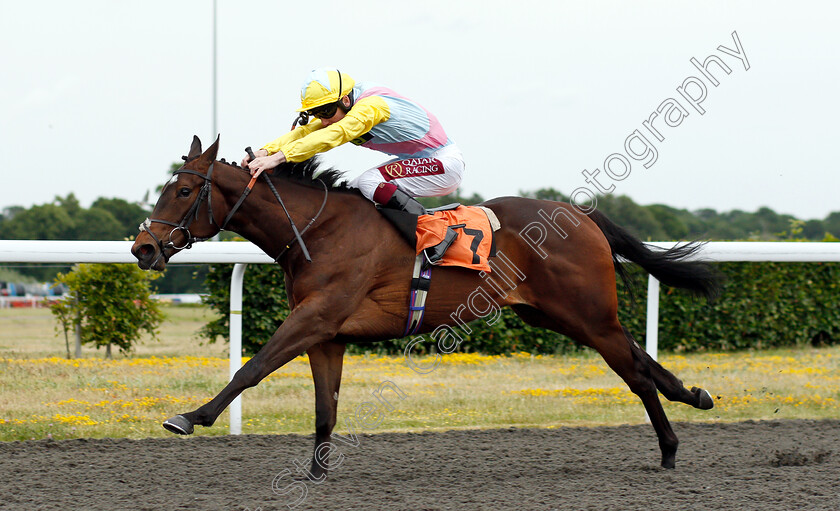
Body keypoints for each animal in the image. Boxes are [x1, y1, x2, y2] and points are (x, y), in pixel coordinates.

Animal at [131, 137, 720, 480]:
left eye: (182, 191)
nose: (143, 248)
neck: (318, 231)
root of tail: (582, 216)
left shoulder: (314, 317)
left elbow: (251, 368)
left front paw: (189, 417)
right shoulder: (327, 335)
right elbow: (325, 407)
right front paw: (317, 473)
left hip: (588, 315)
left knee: (635, 373)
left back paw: (670, 449)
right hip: (557, 315)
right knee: (641, 359)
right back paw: (694, 396)